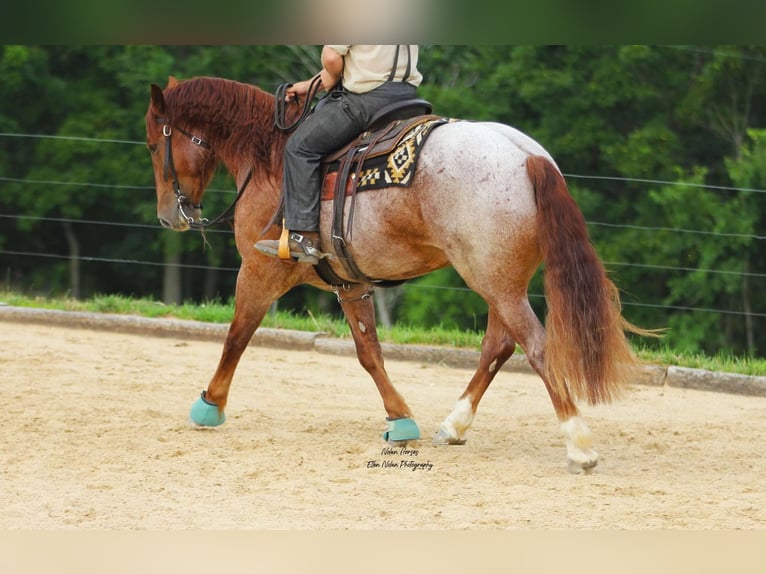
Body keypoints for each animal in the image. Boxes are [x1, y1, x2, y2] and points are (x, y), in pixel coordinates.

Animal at [144, 74, 648, 474]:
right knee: (499, 346)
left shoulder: (259, 270)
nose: (168, 216)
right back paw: (455, 424)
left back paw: (578, 443)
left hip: (496, 283)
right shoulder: (350, 284)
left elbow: (237, 335)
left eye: (152, 144)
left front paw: (210, 404)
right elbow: (370, 354)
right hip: (500, 281)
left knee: (537, 348)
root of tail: (526, 155)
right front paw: (400, 419)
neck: (270, 156)